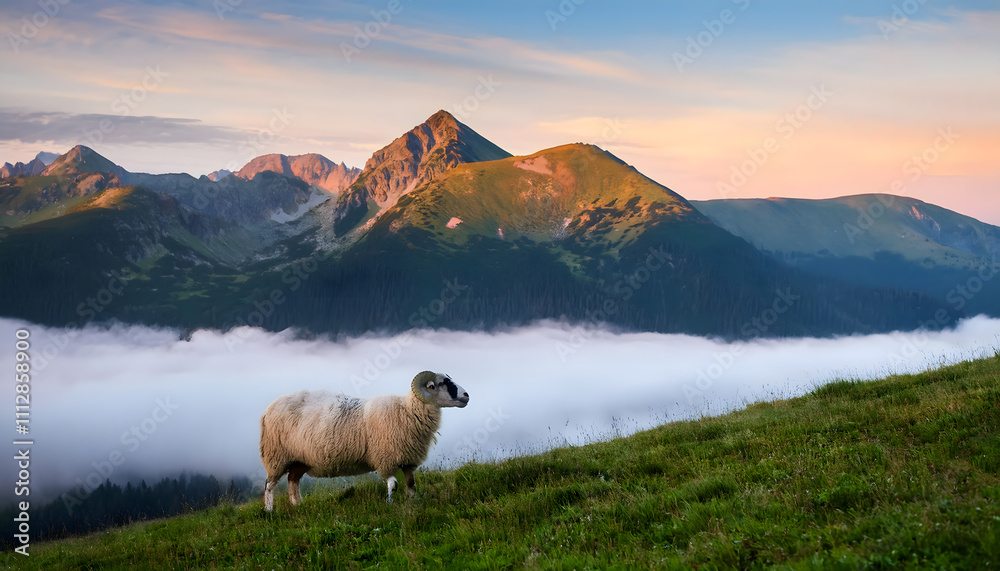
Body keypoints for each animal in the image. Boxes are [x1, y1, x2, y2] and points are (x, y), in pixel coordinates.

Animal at [259, 371, 469, 511]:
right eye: (441, 383)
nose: (467, 395)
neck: (407, 411)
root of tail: (267, 409)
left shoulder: (408, 462)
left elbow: (411, 485)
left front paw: (412, 503)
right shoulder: (385, 459)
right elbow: (393, 484)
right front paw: (389, 504)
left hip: (300, 460)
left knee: (292, 481)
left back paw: (298, 505)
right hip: (276, 456)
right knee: (269, 485)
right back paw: (269, 511)